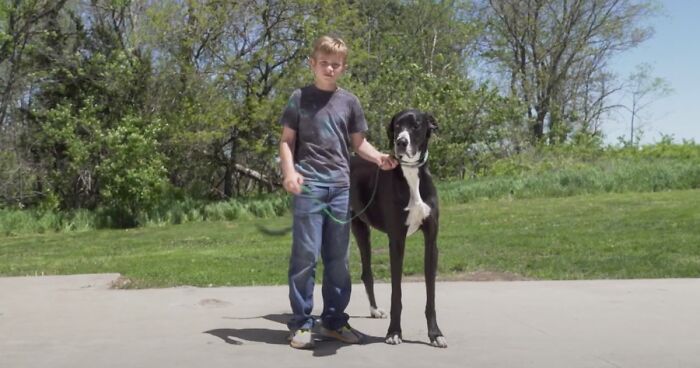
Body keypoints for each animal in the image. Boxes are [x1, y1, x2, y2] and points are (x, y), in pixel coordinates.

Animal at [348, 108, 446, 348]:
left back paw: (374, 310)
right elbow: (396, 293)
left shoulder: (431, 242)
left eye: (416, 125)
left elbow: (431, 294)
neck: (411, 175)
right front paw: (394, 332)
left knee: (366, 272)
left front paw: (435, 333)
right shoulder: (397, 241)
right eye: (397, 126)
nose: (401, 142)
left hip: (361, 229)